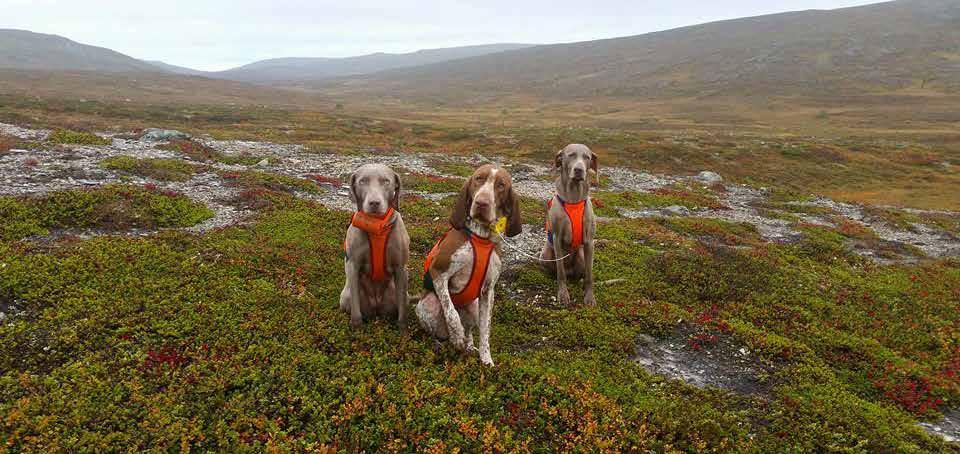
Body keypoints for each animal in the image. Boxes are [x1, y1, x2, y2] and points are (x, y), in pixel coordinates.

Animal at [340, 163, 410, 330]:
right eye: (362, 181)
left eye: (386, 181)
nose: (374, 203)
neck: (376, 226)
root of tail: (376, 307)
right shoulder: (353, 265)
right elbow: (355, 306)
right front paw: (356, 326)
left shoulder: (400, 268)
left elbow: (402, 311)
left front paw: (403, 330)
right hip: (345, 296)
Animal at [418, 163, 524, 366]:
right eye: (478, 179)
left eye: (501, 185)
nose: (482, 203)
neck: (480, 236)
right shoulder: (438, 272)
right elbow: (451, 313)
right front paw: (457, 336)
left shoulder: (488, 291)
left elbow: (485, 331)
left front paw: (487, 360)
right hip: (427, 304)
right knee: (438, 331)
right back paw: (443, 343)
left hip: (474, 307)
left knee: (470, 332)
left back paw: (468, 346)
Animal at [540, 143, 600, 306]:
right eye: (571, 155)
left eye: (587, 157)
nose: (579, 170)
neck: (573, 198)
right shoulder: (557, 238)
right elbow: (560, 272)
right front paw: (563, 294)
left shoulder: (589, 241)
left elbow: (590, 275)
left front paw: (589, 297)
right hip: (545, 255)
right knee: (558, 271)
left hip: (581, 256)